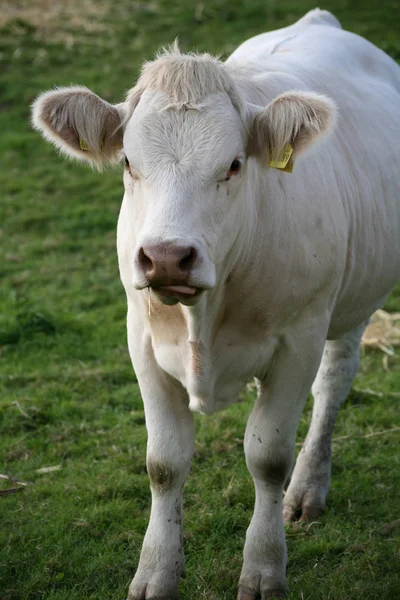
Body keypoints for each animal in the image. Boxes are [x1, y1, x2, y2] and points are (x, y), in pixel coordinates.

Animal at [32, 9, 400, 600]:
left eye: (232, 165)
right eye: (128, 162)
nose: (166, 257)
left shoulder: (298, 340)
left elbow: (268, 458)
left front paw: (264, 568)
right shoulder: (141, 341)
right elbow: (164, 463)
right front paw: (156, 571)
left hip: (352, 302)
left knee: (334, 382)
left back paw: (308, 488)